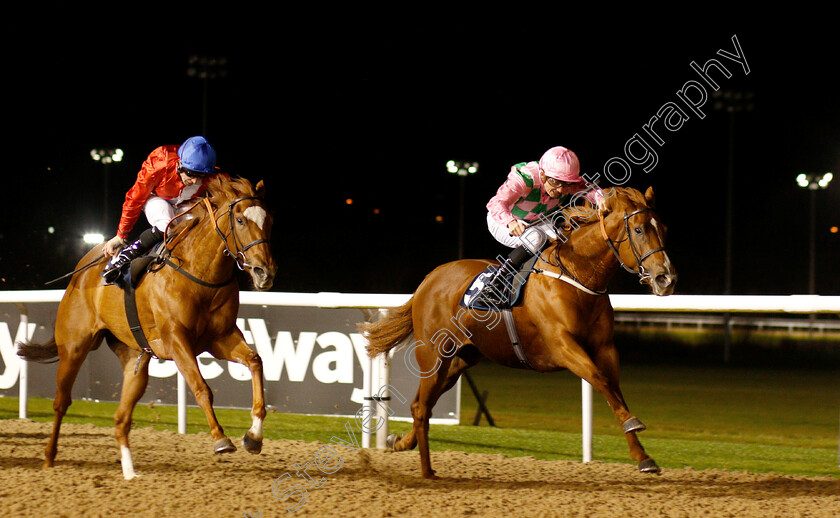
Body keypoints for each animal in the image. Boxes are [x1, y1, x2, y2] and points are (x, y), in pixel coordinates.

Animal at [18, 177, 278, 482]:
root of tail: (80, 271)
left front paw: (254, 437)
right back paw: (49, 458)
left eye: (269, 220)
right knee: (61, 402)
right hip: (74, 346)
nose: (265, 272)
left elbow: (255, 361)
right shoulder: (177, 340)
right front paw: (220, 439)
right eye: (239, 219)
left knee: (121, 419)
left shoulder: (220, 338)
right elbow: (201, 387)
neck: (200, 273)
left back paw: (130, 473)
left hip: (135, 358)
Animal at [360, 186, 676, 480]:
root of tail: (428, 279)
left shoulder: (605, 347)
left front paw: (643, 457)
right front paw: (633, 423)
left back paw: (400, 442)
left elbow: (614, 390)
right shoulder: (563, 346)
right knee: (422, 408)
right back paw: (426, 471)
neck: (577, 274)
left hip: (460, 359)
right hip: (433, 355)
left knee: (421, 404)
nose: (666, 278)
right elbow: (600, 380)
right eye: (638, 229)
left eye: (663, 228)